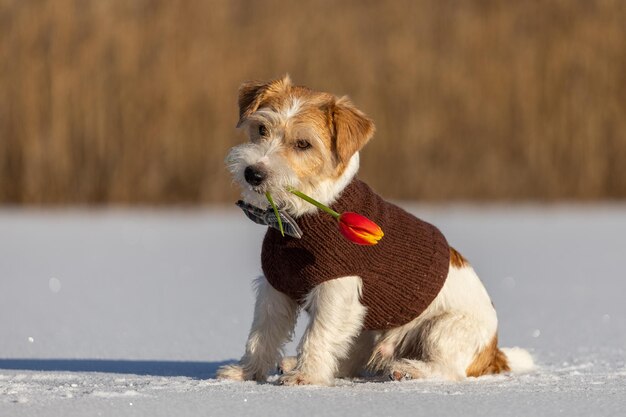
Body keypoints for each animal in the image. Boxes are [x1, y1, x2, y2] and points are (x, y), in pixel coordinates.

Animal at [216, 76, 532, 386]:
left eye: (303, 144)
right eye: (261, 129)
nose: (253, 173)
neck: (305, 213)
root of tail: (495, 353)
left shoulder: (336, 291)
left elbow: (318, 335)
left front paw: (306, 376)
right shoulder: (275, 287)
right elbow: (261, 336)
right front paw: (247, 373)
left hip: (443, 330)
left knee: (447, 370)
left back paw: (406, 370)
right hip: (367, 331)